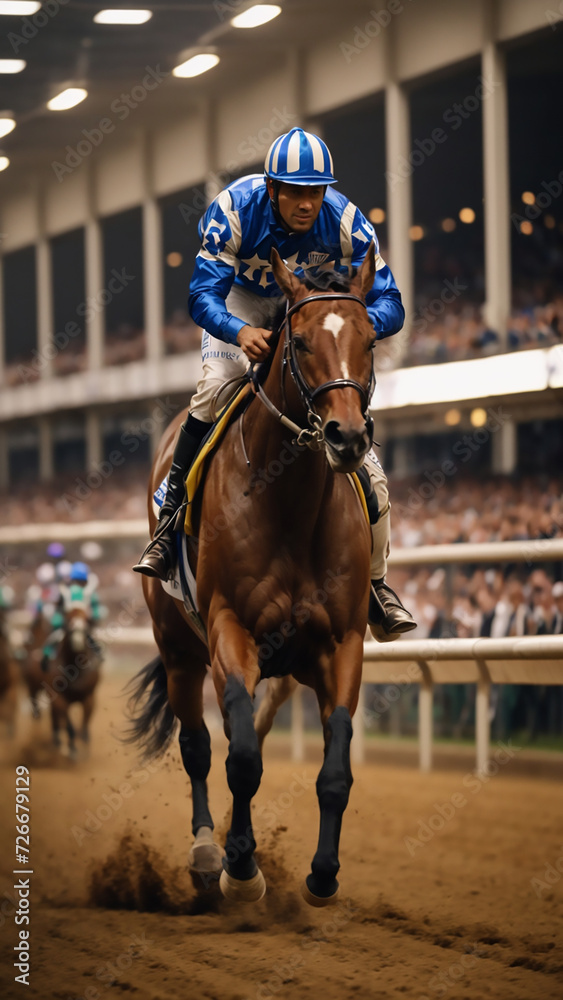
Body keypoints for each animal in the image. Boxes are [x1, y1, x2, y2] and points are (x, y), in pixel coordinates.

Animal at [128, 245, 377, 906]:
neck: (289, 503)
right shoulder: (229, 630)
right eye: (302, 340)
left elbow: (335, 769)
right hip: (179, 648)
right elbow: (237, 757)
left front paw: (322, 875)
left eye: (370, 339)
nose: (346, 436)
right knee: (198, 745)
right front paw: (239, 868)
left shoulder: (341, 643)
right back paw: (208, 850)